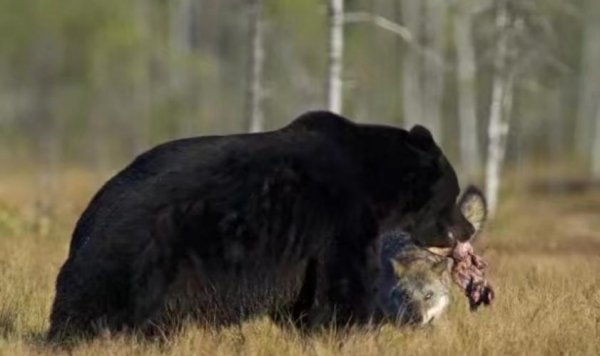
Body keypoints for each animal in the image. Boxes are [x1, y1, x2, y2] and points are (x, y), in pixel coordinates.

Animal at [47, 110, 474, 340]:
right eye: (452, 194)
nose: (469, 228)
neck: (378, 183)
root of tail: (89, 215)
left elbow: (305, 300)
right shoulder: (341, 220)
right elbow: (343, 287)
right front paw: (354, 327)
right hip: (145, 259)